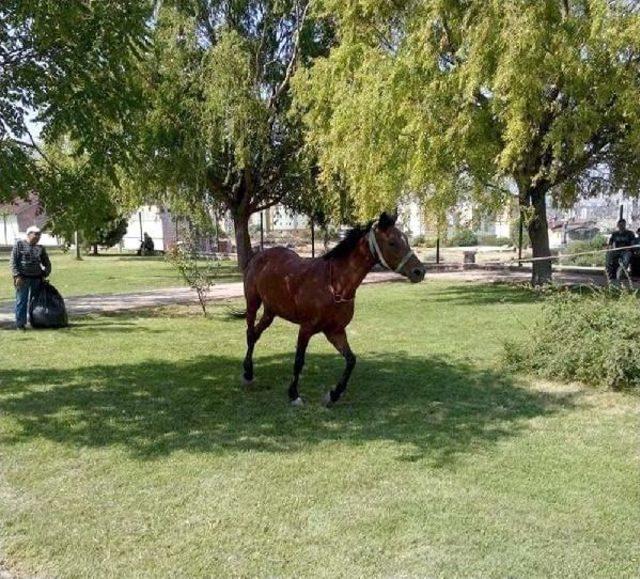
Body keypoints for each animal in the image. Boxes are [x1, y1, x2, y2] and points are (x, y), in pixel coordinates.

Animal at [240, 211, 424, 406]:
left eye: (406, 239)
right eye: (392, 242)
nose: (419, 271)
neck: (334, 284)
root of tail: (258, 256)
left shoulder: (335, 331)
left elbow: (351, 360)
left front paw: (333, 394)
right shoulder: (305, 329)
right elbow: (299, 360)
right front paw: (294, 394)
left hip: (271, 311)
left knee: (256, 334)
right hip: (253, 303)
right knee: (250, 332)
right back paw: (248, 374)